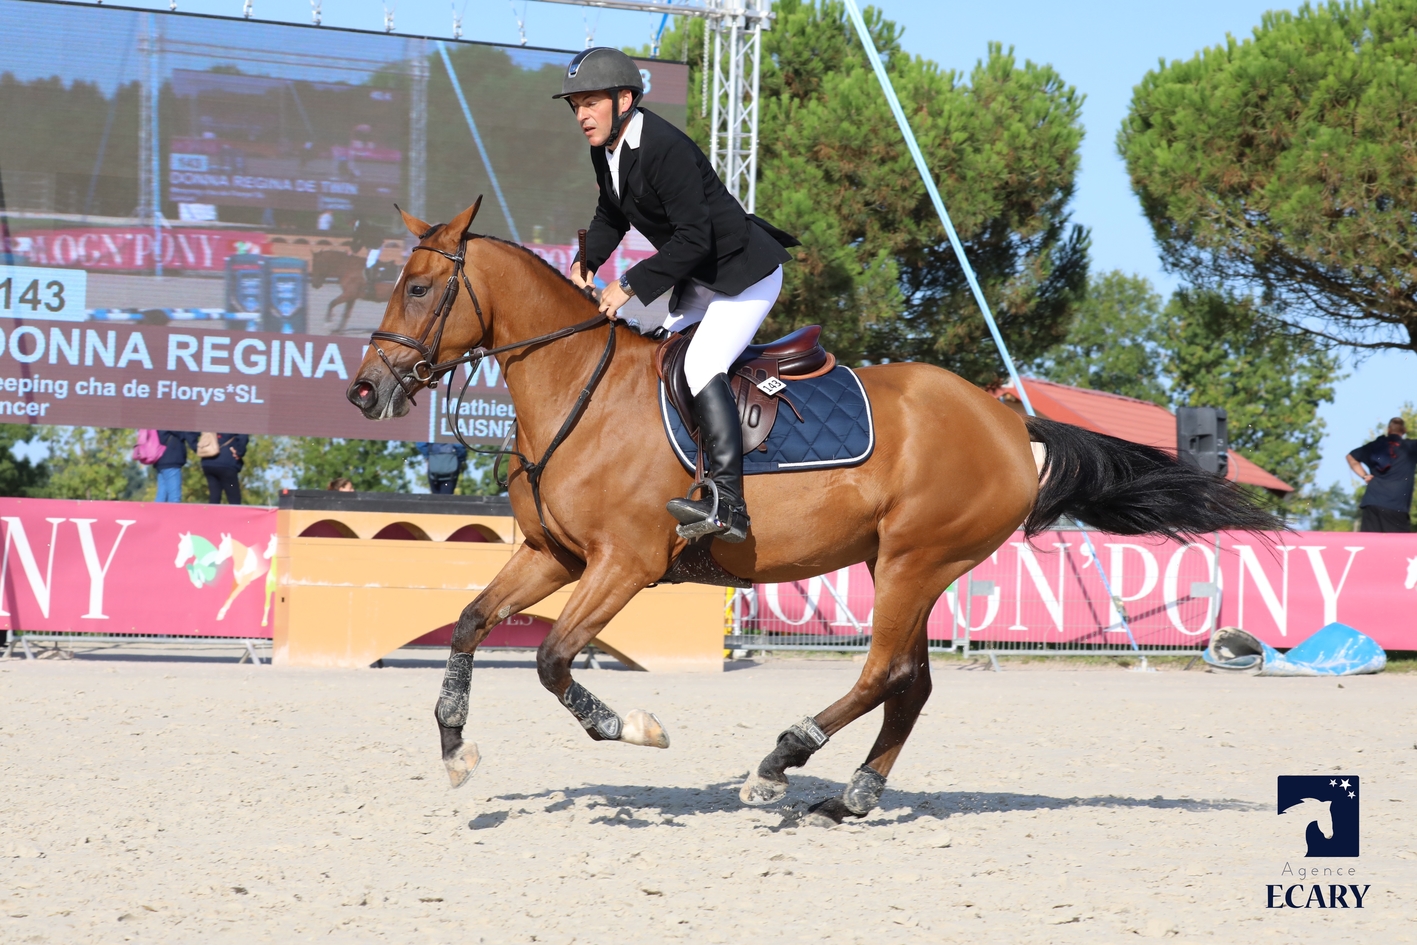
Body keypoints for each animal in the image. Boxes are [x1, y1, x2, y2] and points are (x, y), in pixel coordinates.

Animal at [346, 200, 1276, 825]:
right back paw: (853, 795)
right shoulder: (554, 556)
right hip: (898, 563)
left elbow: (550, 658)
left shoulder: (625, 564)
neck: (578, 390)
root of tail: (1009, 420)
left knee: (881, 673)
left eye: (420, 288)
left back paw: (778, 762)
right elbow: (473, 622)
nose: (364, 391)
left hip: (913, 561)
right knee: (911, 681)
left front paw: (631, 725)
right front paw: (456, 747)